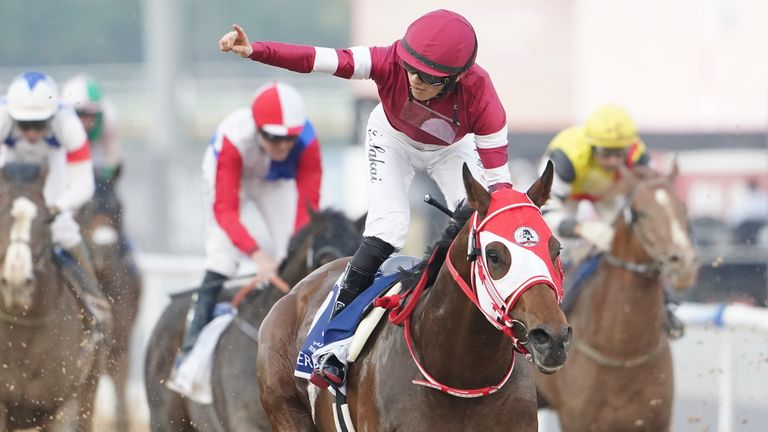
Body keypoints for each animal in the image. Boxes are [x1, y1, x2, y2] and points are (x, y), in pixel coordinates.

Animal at [260, 163, 576, 432]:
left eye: (556, 248)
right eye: (495, 254)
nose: (552, 337)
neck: (463, 374)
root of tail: (291, 295)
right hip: (286, 409)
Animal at [536, 164, 700, 430]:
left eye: (682, 208)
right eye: (640, 213)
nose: (683, 262)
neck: (622, 351)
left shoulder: (655, 420)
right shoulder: (578, 420)